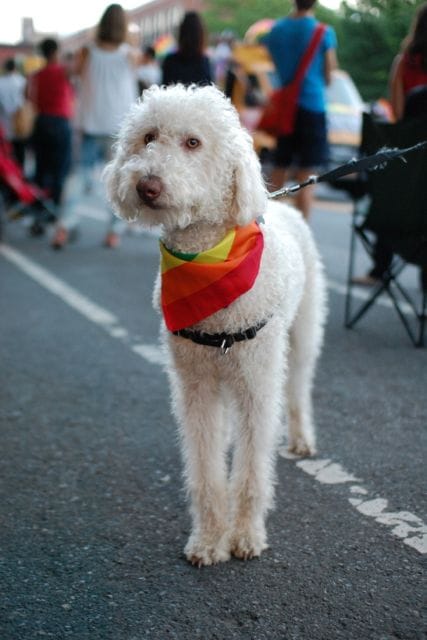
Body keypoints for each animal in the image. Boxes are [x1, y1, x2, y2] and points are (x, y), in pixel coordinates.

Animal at [104, 84, 328, 564]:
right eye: (147, 137)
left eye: (193, 142)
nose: (146, 184)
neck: (208, 258)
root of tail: (287, 206)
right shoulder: (196, 386)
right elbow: (205, 468)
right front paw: (209, 538)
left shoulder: (256, 384)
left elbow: (251, 470)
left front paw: (244, 535)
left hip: (302, 334)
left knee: (299, 387)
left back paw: (301, 437)